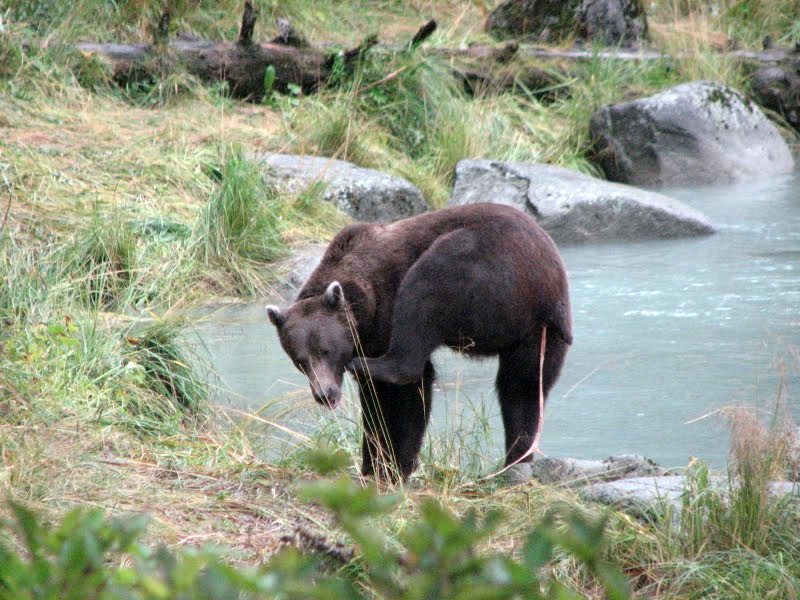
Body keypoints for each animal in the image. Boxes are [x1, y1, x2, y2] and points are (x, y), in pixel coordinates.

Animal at [266, 204, 572, 480]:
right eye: (300, 360)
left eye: (326, 350)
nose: (325, 393)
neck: (363, 308)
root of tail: (545, 282)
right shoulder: (367, 338)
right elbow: (374, 404)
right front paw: (372, 463)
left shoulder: (383, 315)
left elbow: (410, 394)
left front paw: (398, 464)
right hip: (540, 331)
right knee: (523, 387)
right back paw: (516, 459)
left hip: (483, 269)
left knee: (425, 288)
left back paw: (370, 364)